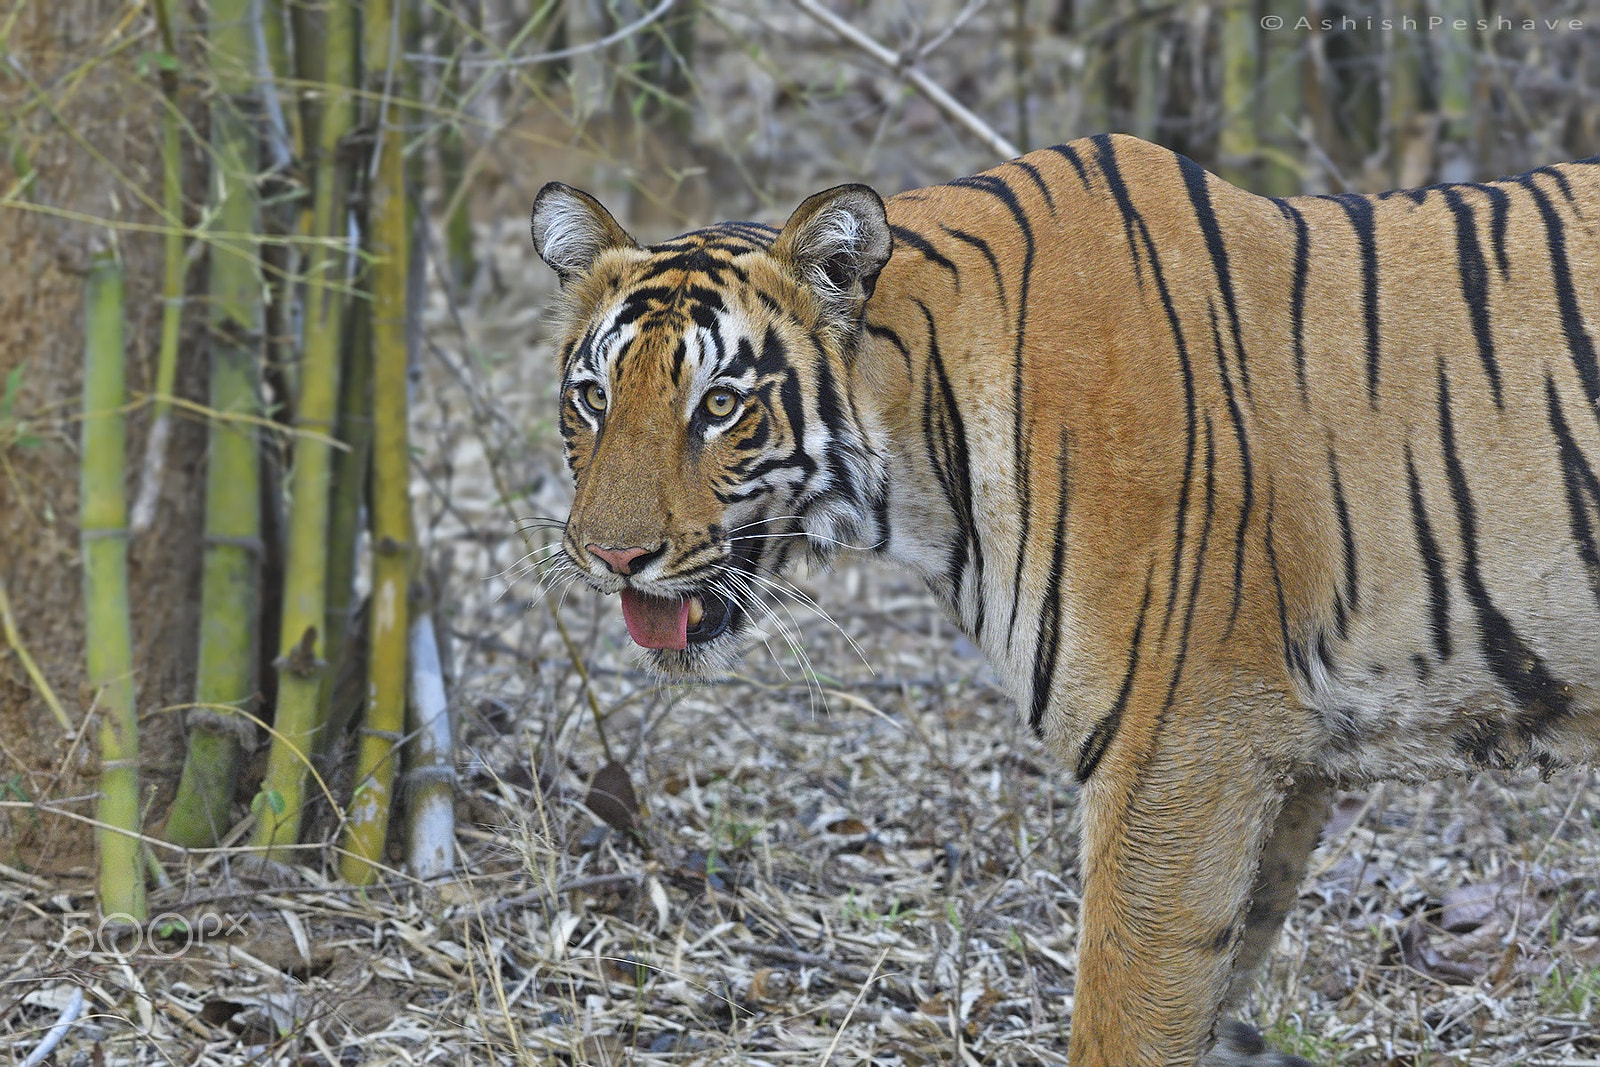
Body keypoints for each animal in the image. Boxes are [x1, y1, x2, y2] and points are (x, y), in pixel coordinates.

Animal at [531, 135, 1600, 1067]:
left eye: (719, 405)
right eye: (592, 397)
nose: (610, 555)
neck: (924, 448)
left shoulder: (1185, 745)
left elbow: (1126, 1015)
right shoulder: (1286, 767)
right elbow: (1215, 988)